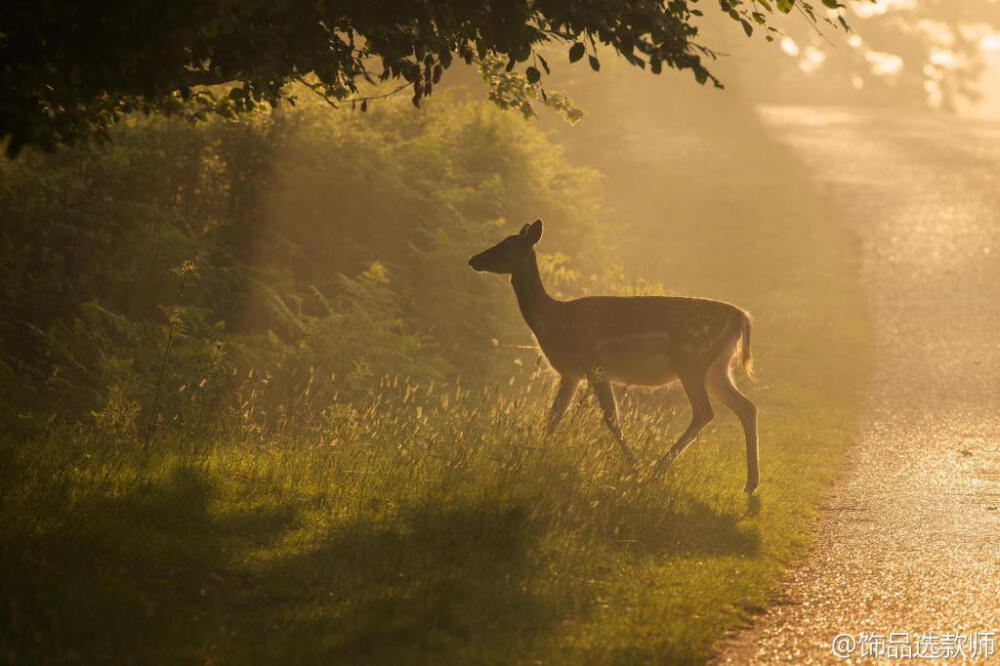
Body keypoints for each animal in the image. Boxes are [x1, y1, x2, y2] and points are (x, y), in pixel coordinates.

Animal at [468, 219, 756, 492]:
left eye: (507, 245)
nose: (474, 260)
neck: (553, 321)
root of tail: (741, 317)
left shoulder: (593, 364)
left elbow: (610, 417)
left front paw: (634, 467)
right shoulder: (570, 373)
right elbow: (553, 417)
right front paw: (533, 459)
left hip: (692, 360)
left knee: (704, 412)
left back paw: (656, 470)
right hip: (717, 368)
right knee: (746, 406)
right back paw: (750, 484)